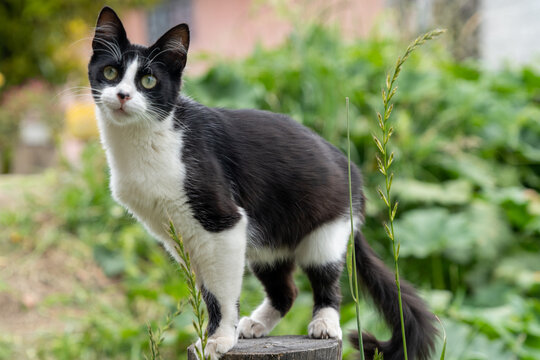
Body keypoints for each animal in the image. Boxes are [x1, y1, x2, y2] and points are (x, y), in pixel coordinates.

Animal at [86, 5, 436, 360]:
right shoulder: (179, 236)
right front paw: (211, 336)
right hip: (268, 242)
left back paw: (324, 323)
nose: (122, 95)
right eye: (111, 73)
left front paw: (218, 339)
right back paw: (255, 324)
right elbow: (207, 289)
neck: (146, 142)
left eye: (148, 80)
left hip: (326, 231)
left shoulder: (223, 223)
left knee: (327, 281)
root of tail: (353, 173)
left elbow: (221, 292)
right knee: (286, 290)